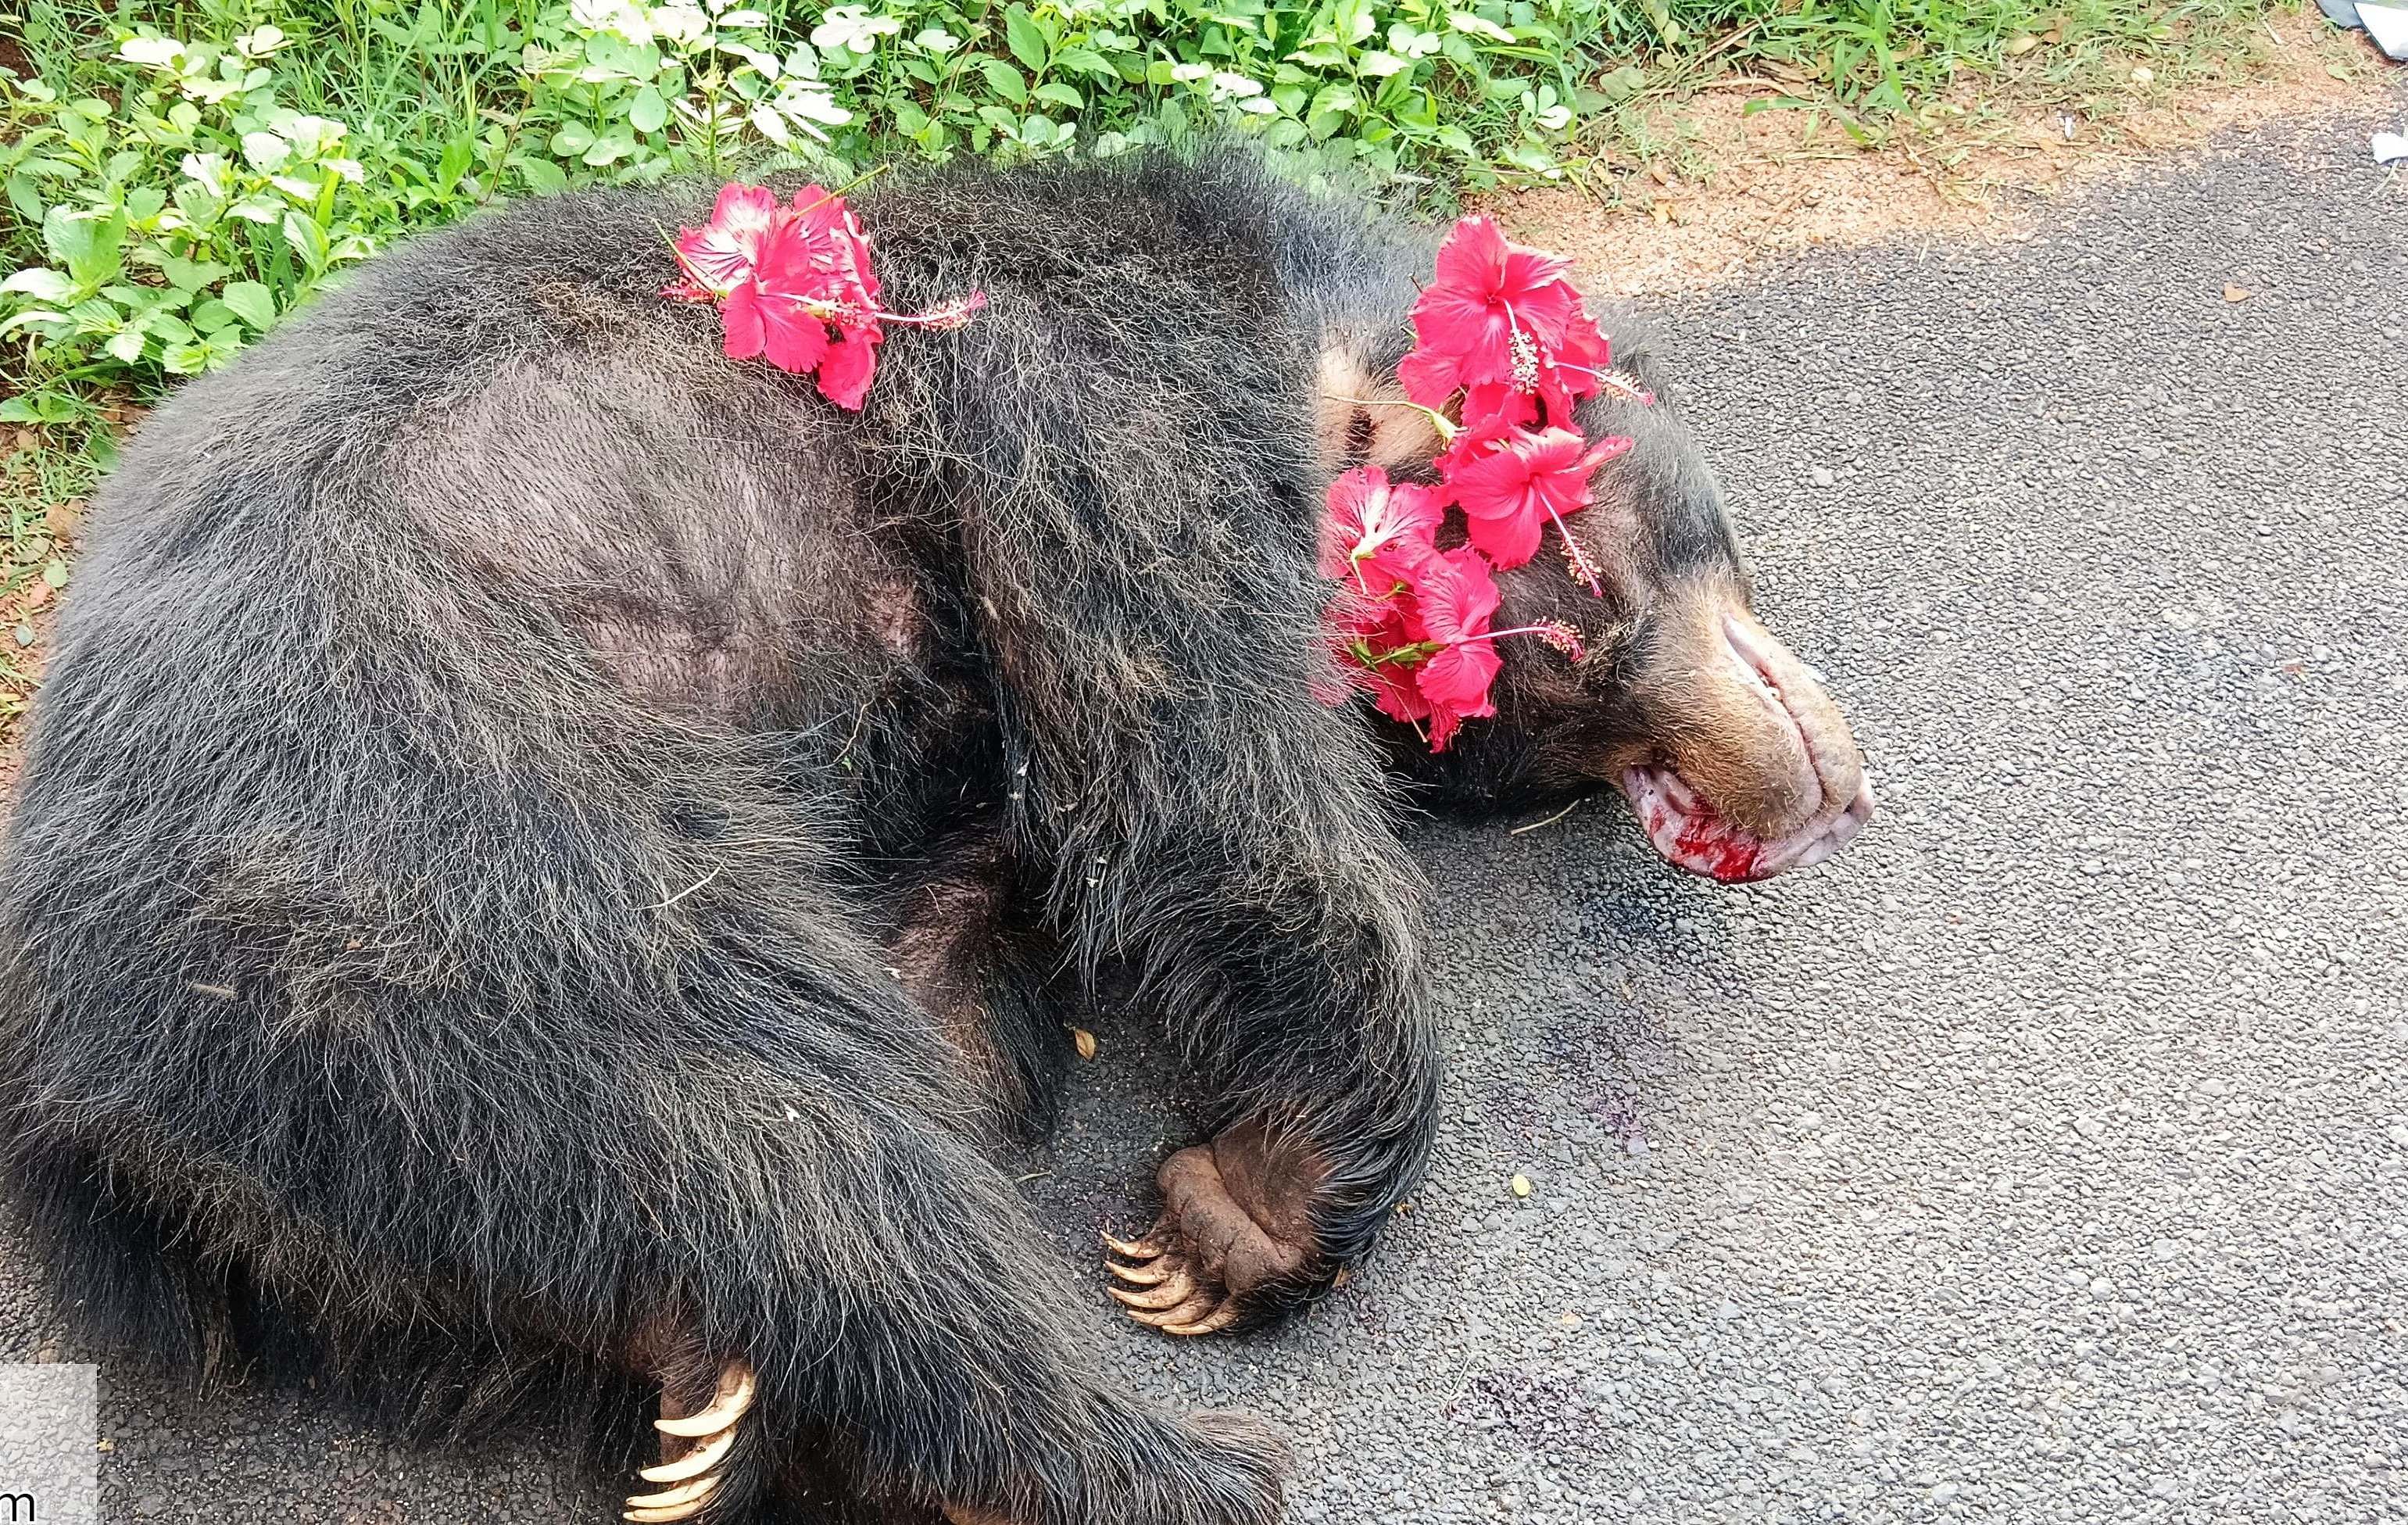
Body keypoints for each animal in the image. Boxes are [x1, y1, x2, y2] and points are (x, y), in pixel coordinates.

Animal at [0, 154, 1859, 1522]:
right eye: (1600, 603)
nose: (1813, 788)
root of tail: (89, 1089)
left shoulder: (947, 772)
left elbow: (958, 942)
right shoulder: (1085, 392)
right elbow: (1198, 739)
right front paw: (1250, 1198)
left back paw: (709, 1395)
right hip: (419, 812)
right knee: (761, 1109)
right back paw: (1150, 1469)